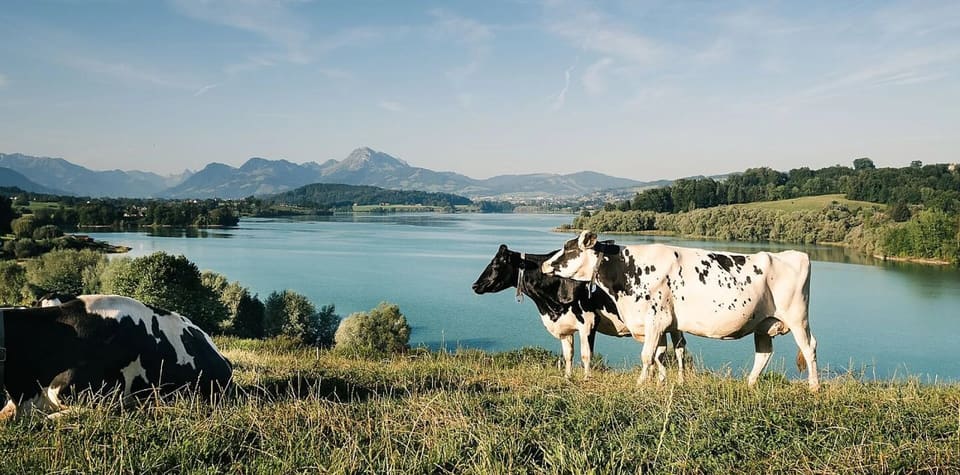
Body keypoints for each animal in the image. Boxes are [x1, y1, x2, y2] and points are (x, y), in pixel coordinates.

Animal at [472, 244, 686, 380]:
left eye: (496, 264)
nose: (475, 285)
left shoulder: (588, 322)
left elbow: (586, 355)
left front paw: (586, 379)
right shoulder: (565, 326)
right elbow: (568, 354)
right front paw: (568, 378)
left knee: (679, 350)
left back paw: (679, 381)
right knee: (663, 352)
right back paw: (660, 381)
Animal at [541, 231, 820, 392]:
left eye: (568, 249)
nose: (544, 264)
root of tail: (795, 254)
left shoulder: (656, 319)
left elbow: (647, 356)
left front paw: (640, 384)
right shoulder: (664, 325)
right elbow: (660, 355)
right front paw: (662, 383)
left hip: (797, 317)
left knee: (809, 347)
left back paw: (814, 388)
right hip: (763, 322)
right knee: (763, 353)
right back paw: (750, 385)